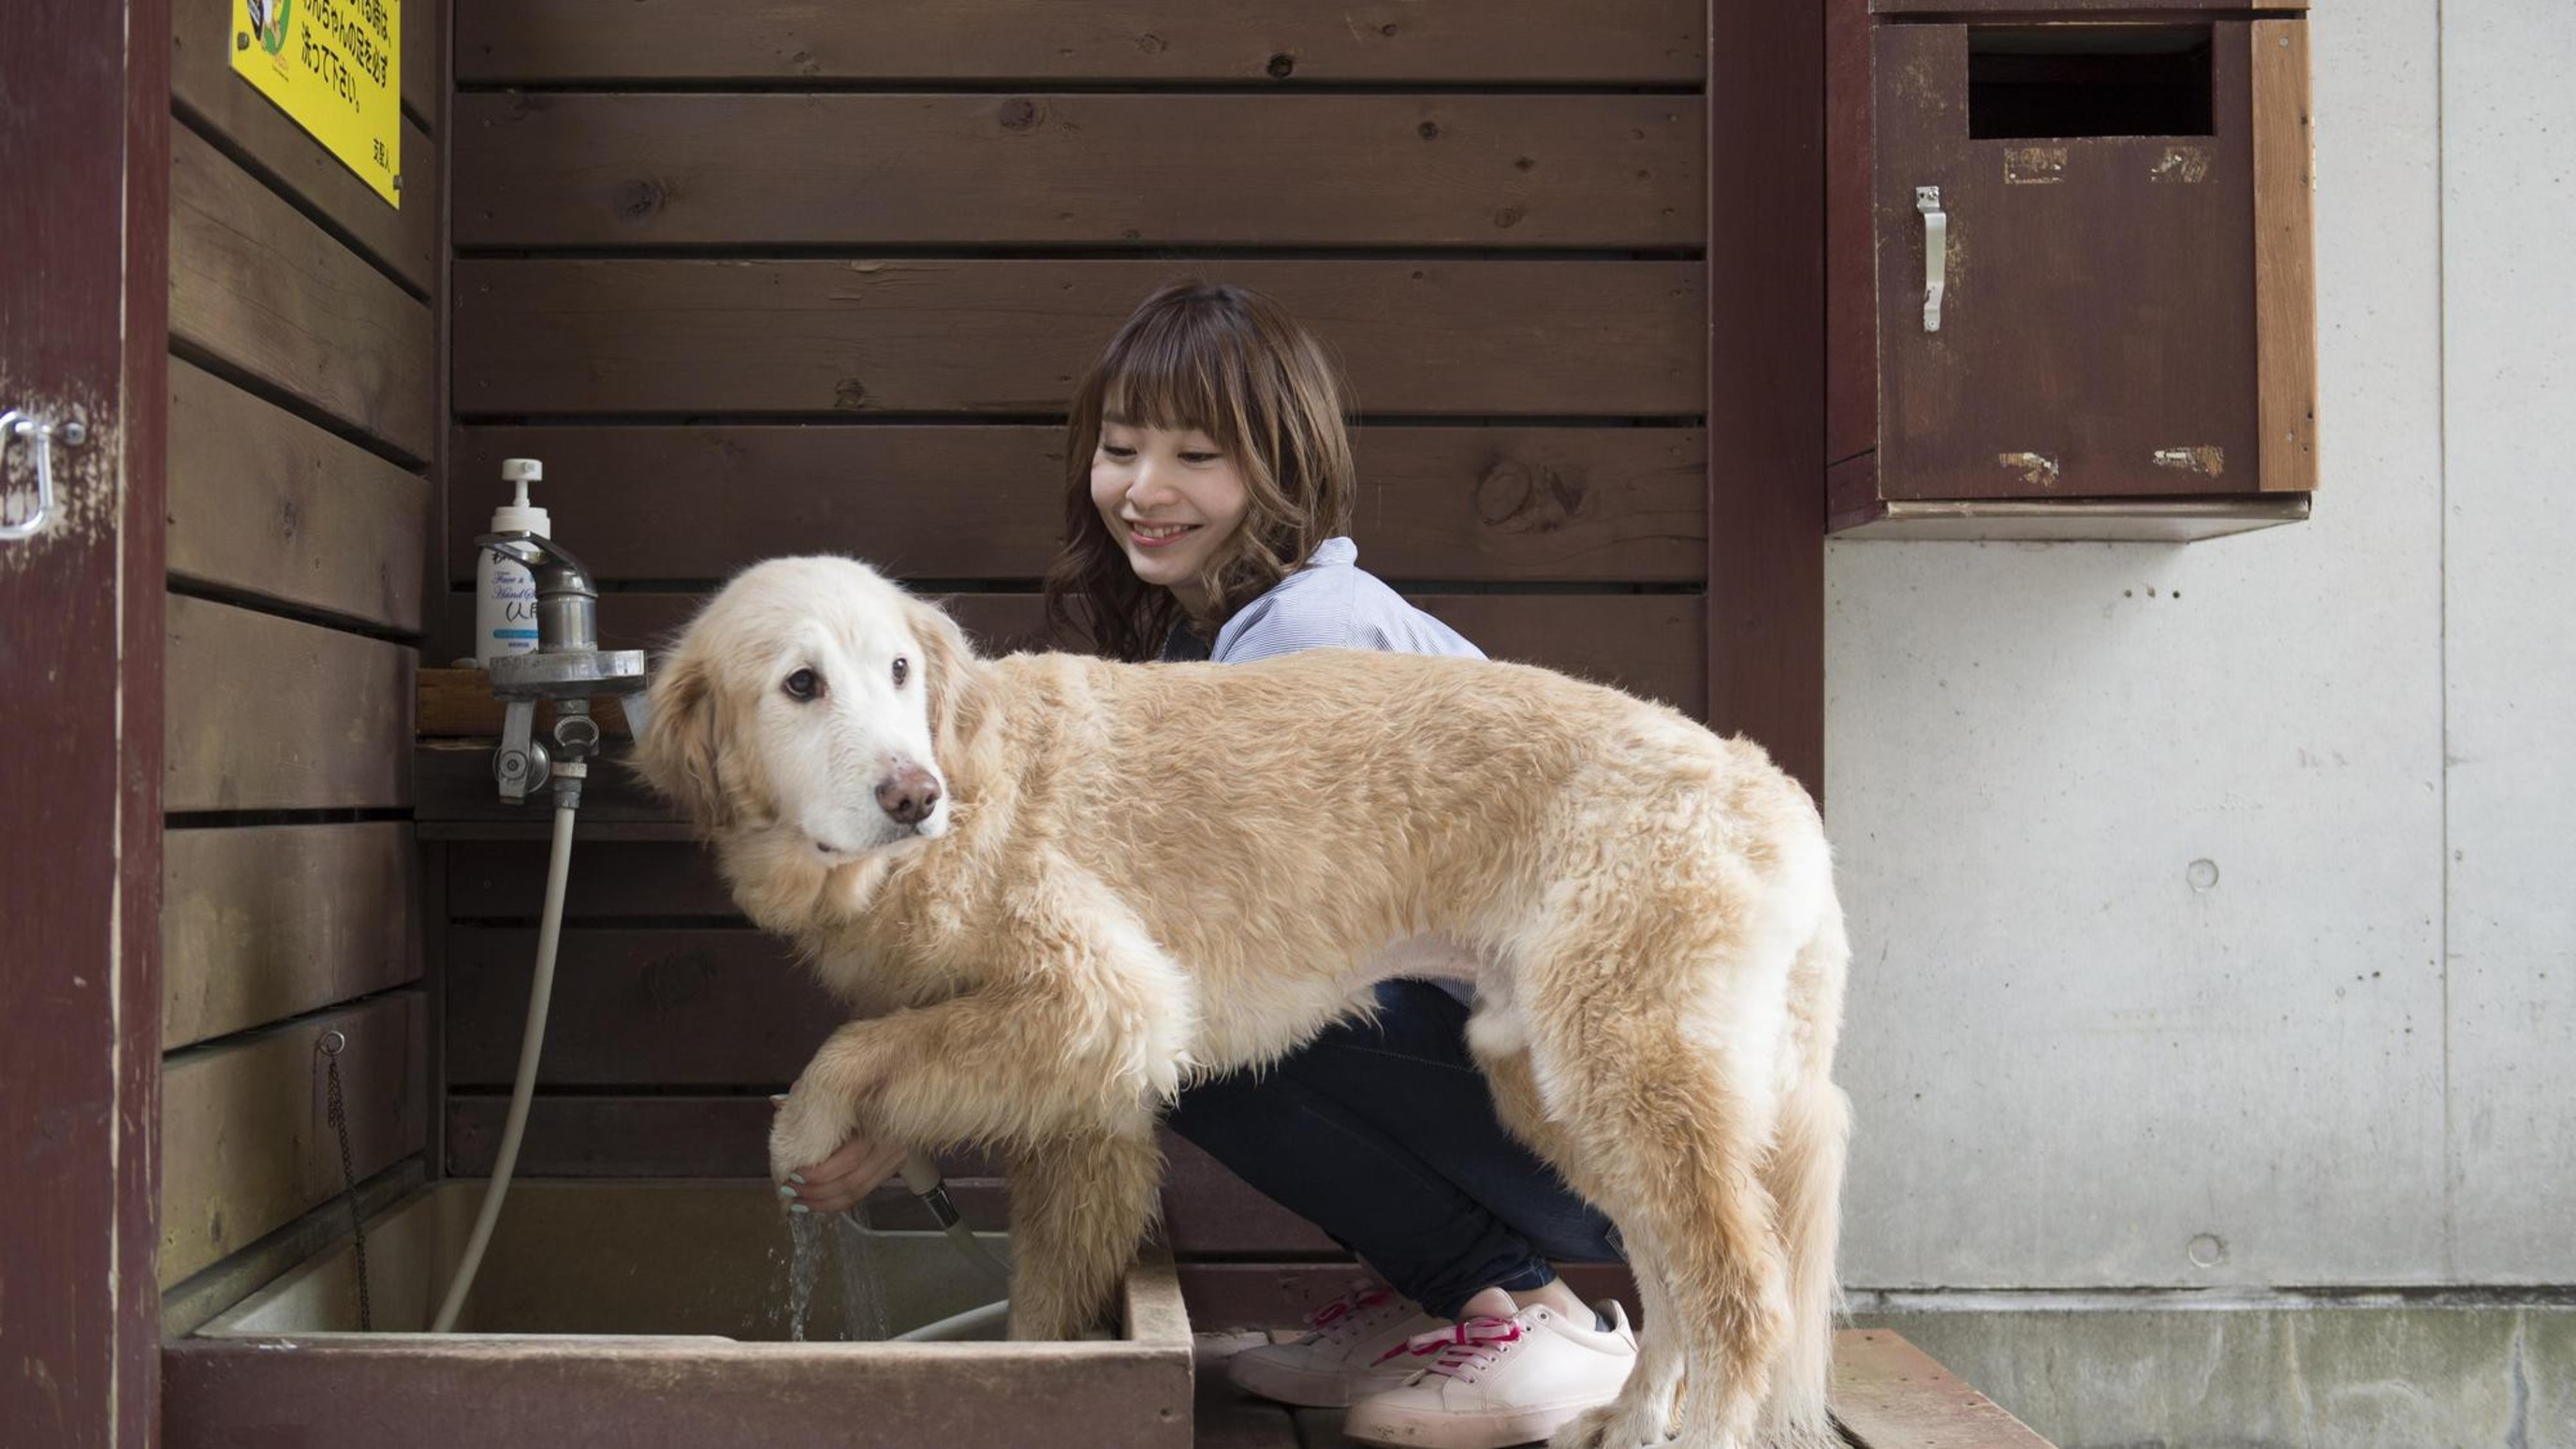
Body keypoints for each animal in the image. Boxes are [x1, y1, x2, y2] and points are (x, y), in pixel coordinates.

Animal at [641, 554, 1854, 1443]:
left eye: (897, 670)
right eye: (801, 684)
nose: (912, 795)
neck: (974, 769)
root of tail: (1765, 782)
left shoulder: (1111, 1002)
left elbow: (861, 1045)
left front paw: (806, 1127)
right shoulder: (1077, 1104)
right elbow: (1038, 1295)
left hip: (1631, 1071)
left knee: (1739, 1300)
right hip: (1561, 1084)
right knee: (1668, 1280)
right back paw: (1633, 1417)